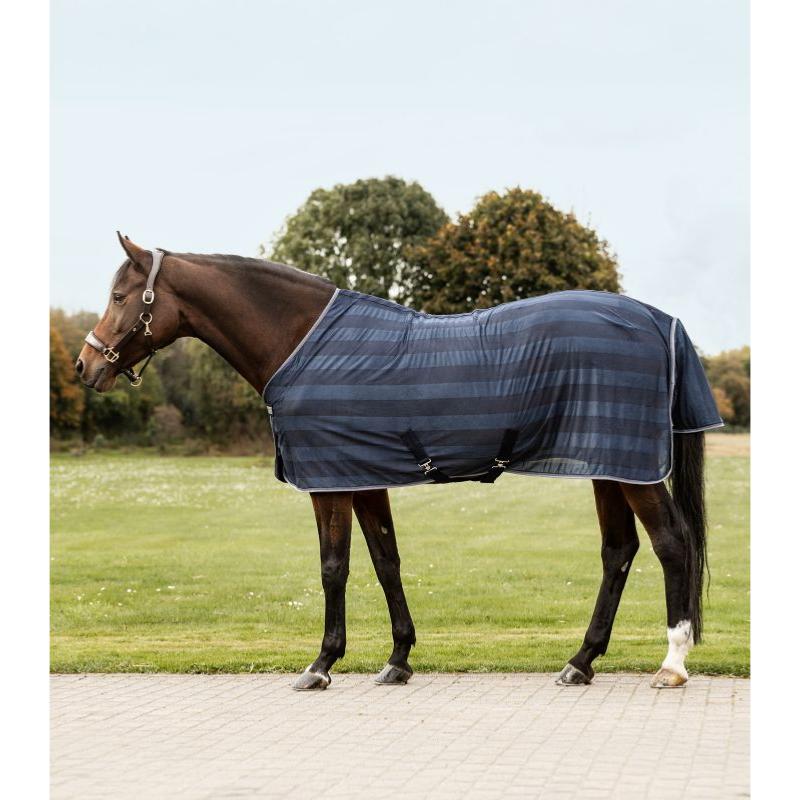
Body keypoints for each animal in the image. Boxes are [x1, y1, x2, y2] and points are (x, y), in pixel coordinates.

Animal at [75, 234, 721, 691]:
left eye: (120, 296)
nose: (86, 366)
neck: (302, 341)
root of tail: (659, 320)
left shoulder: (329, 482)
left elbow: (333, 566)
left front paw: (321, 663)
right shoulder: (363, 478)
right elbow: (386, 561)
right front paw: (398, 659)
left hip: (631, 468)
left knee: (672, 542)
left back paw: (672, 664)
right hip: (610, 464)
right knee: (619, 551)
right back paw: (580, 662)